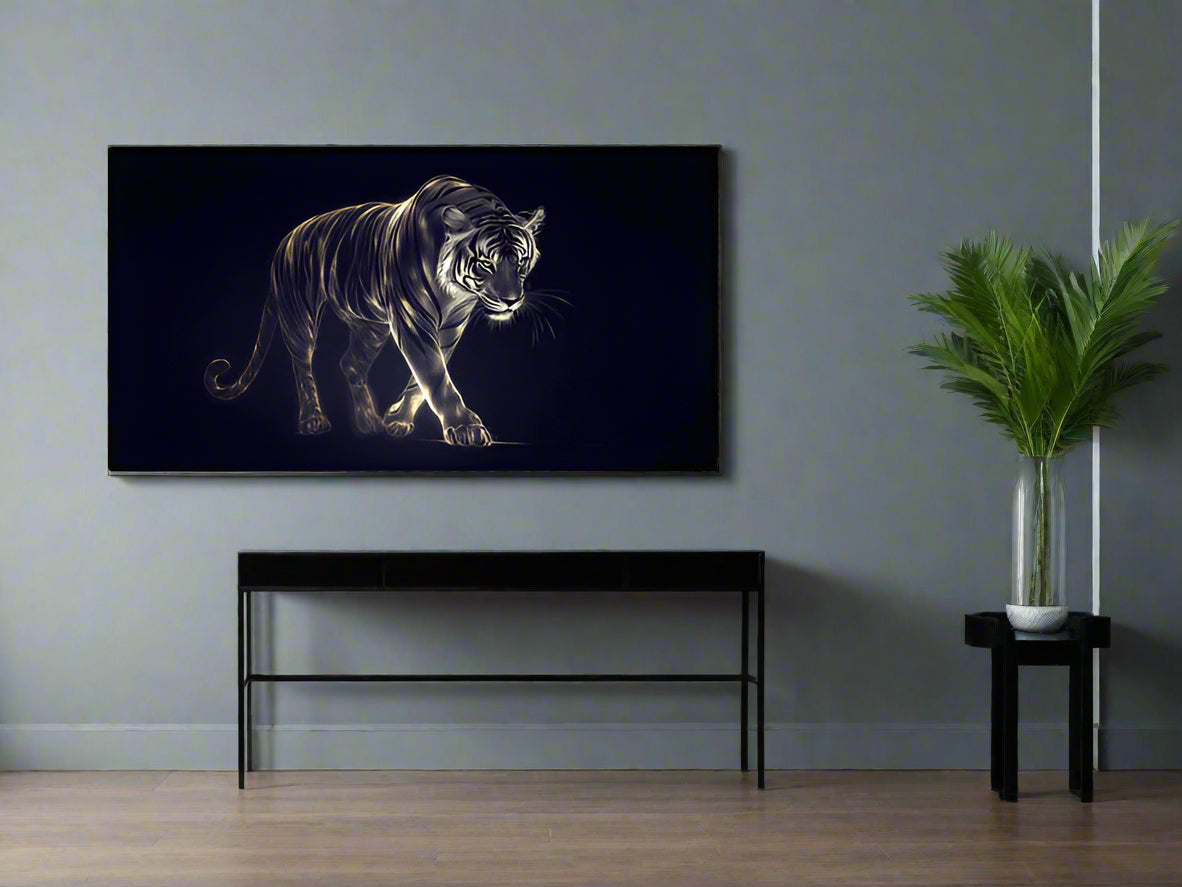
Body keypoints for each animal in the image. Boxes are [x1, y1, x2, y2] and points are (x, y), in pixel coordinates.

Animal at [203, 175, 545, 446]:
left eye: (521, 261)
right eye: (486, 263)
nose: (511, 301)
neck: (455, 289)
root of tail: (285, 240)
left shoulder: (452, 325)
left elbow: (422, 379)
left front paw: (397, 420)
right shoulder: (412, 319)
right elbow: (434, 375)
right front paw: (465, 427)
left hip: (370, 325)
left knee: (350, 363)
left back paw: (369, 424)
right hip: (301, 315)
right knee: (302, 364)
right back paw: (313, 420)